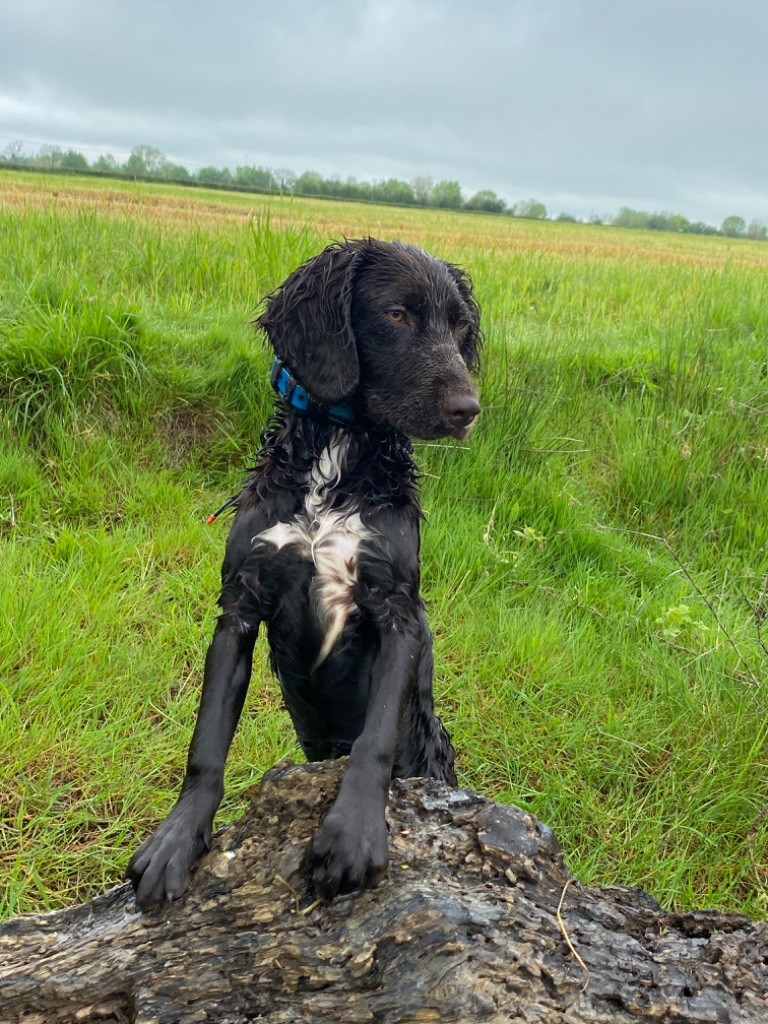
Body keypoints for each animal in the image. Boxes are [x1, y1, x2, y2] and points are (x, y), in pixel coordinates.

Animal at [126, 237, 481, 905]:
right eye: (397, 314)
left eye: (459, 328)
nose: (467, 409)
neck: (335, 458)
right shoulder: (239, 604)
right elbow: (205, 746)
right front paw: (175, 840)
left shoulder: (398, 610)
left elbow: (375, 739)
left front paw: (354, 833)